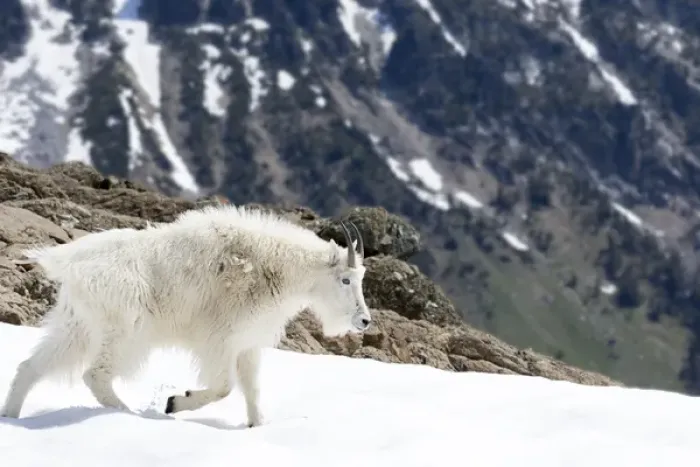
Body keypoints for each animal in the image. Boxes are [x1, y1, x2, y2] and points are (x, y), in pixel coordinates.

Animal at [0, 205, 372, 427]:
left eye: (362, 279)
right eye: (345, 279)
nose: (365, 321)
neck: (274, 268)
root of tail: (68, 263)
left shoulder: (247, 344)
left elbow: (252, 390)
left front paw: (256, 427)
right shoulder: (219, 341)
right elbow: (223, 387)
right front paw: (176, 402)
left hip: (76, 327)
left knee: (31, 367)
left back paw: (12, 417)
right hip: (125, 333)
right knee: (95, 374)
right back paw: (129, 413)